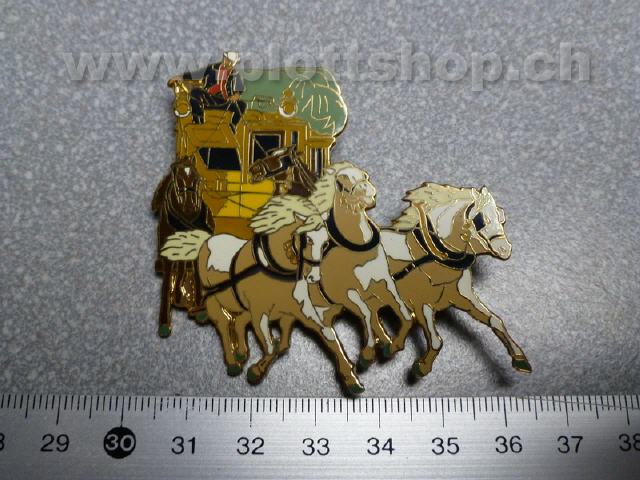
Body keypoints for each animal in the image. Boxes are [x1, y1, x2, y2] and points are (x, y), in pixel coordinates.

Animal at [151, 157, 215, 337]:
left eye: (197, 177)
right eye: (176, 176)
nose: (190, 207)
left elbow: (198, 277)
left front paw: (200, 308)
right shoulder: (168, 257)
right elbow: (166, 285)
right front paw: (164, 323)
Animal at [379, 183, 531, 377]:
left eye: (501, 216)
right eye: (480, 219)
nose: (505, 249)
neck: (435, 257)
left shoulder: (465, 299)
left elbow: (495, 320)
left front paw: (519, 358)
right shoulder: (421, 304)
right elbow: (436, 340)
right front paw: (422, 366)